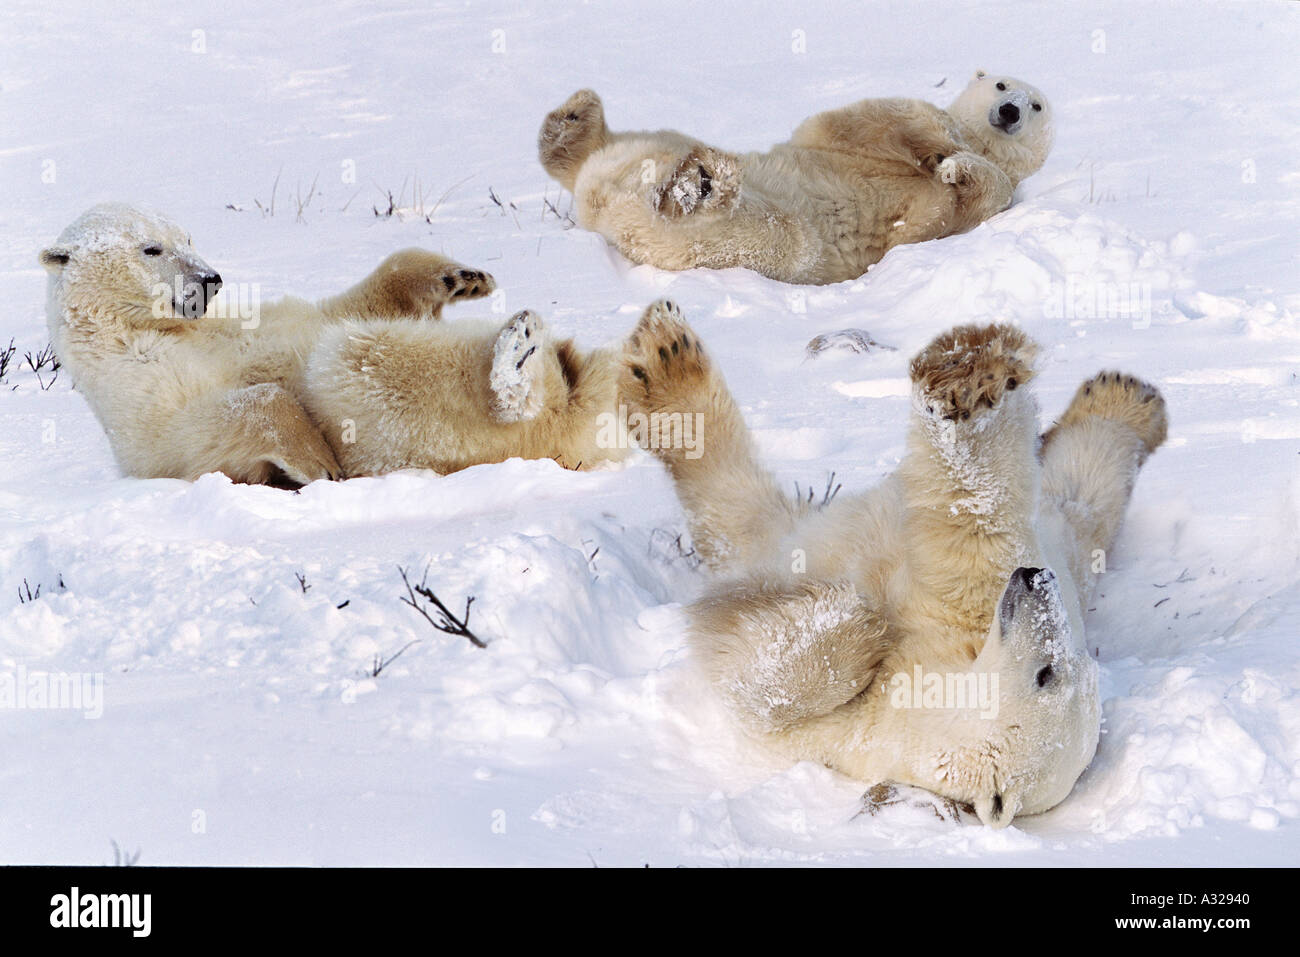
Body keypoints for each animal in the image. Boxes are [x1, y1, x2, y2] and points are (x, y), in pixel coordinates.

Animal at [47, 202, 639, 486]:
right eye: (151, 248)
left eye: (187, 237)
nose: (209, 279)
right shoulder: (133, 387)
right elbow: (191, 432)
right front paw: (316, 461)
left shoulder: (245, 321)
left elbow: (339, 308)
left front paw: (460, 277)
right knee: (353, 362)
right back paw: (517, 360)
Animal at [538, 71, 1055, 283]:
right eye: (1002, 84)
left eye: (1037, 104)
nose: (1009, 110)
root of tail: (603, 211)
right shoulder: (844, 137)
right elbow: (867, 118)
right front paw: (940, 149)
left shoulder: (977, 206)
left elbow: (966, 204)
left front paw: (954, 168)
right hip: (654, 144)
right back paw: (573, 118)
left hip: (705, 237)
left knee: (781, 237)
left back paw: (698, 187)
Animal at [618, 302, 1170, 826]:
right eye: (1063, 662)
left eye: (1047, 674)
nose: (1035, 578)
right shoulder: (969, 607)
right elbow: (980, 517)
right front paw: (970, 366)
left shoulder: (854, 729)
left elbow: (771, 685)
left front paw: (846, 617)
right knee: (1078, 489)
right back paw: (1124, 396)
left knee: (736, 509)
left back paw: (667, 361)